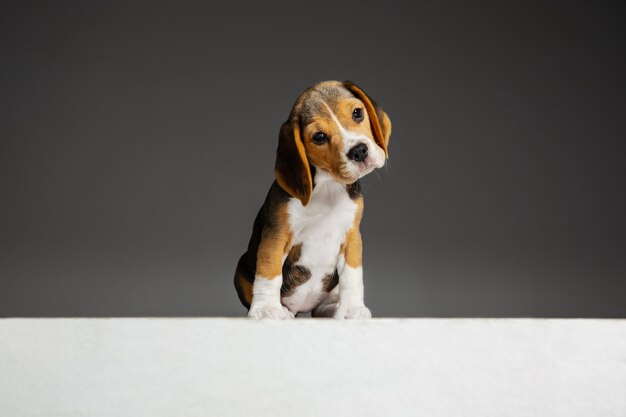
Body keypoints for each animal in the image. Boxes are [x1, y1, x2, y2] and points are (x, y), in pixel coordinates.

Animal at [234, 79, 390, 318]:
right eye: (319, 137)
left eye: (357, 113)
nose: (359, 151)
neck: (328, 187)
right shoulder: (276, 236)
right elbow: (269, 273)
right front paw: (266, 309)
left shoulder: (352, 237)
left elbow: (352, 276)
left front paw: (352, 309)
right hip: (241, 267)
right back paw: (283, 310)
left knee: (321, 307)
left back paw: (332, 309)